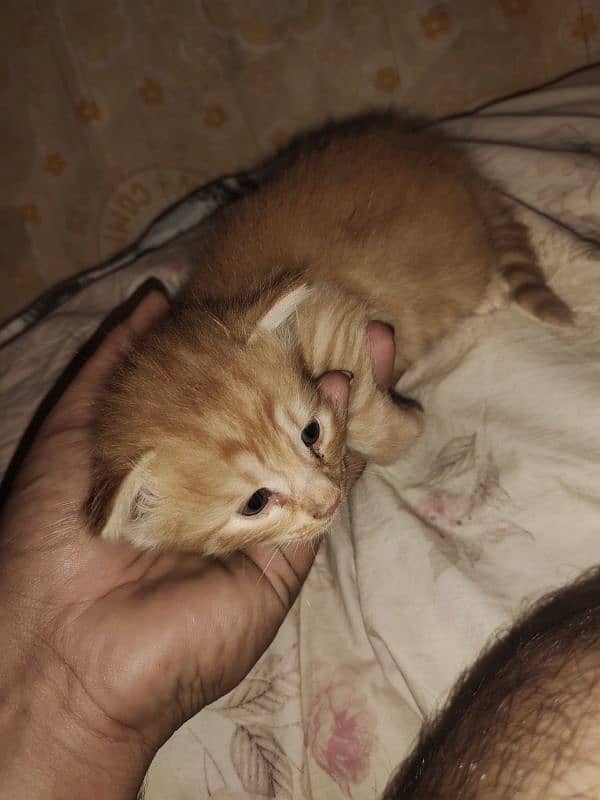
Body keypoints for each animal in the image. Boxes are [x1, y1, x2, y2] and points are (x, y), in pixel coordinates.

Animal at [86, 114, 568, 556]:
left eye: (311, 433)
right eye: (255, 503)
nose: (330, 499)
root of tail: (433, 149)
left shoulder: (329, 313)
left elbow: (367, 411)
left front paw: (408, 429)